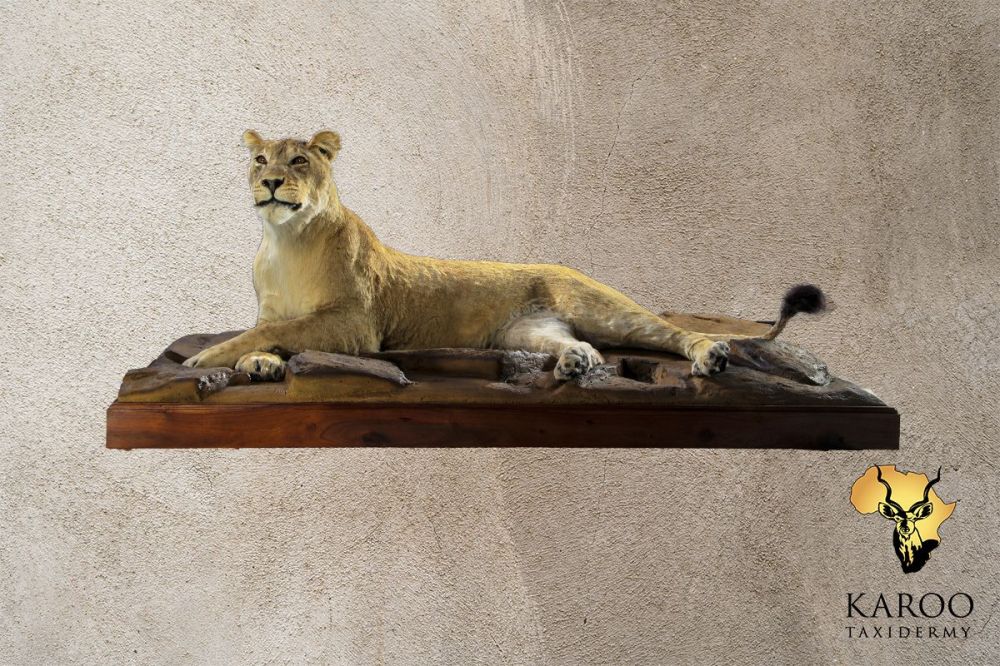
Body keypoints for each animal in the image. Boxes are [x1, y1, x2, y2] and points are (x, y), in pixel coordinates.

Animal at [183, 130, 825, 381]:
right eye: (259, 161)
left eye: (297, 160)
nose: (270, 183)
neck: (285, 240)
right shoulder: (281, 313)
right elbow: (267, 332)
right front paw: (256, 364)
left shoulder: (356, 323)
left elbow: (271, 332)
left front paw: (206, 357)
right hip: (525, 333)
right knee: (580, 345)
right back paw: (575, 363)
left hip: (605, 308)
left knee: (670, 332)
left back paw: (709, 354)